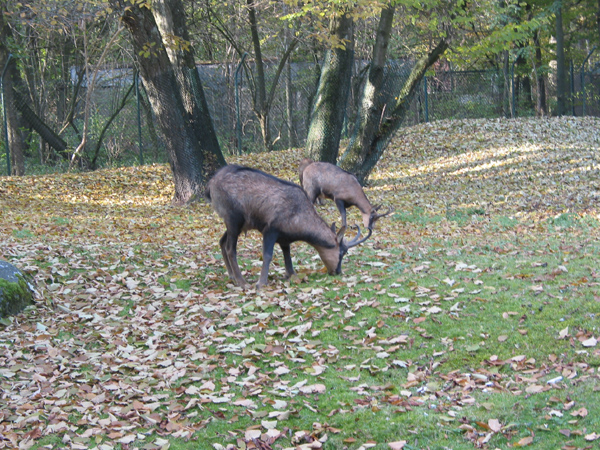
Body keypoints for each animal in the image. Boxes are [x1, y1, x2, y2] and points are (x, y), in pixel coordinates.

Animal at [206, 164, 370, 288]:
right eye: (342, 252)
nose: (338, 271)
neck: (299, 216)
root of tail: (211, 183)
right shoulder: (270, 229)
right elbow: (267, 255)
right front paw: (261, 283)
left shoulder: (285, 238)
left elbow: (287, 256)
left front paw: (291, 274)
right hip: (233, 219)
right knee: (230, 248)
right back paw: (242, 281)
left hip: (236, 224)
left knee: (221, 241)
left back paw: (232, 276)